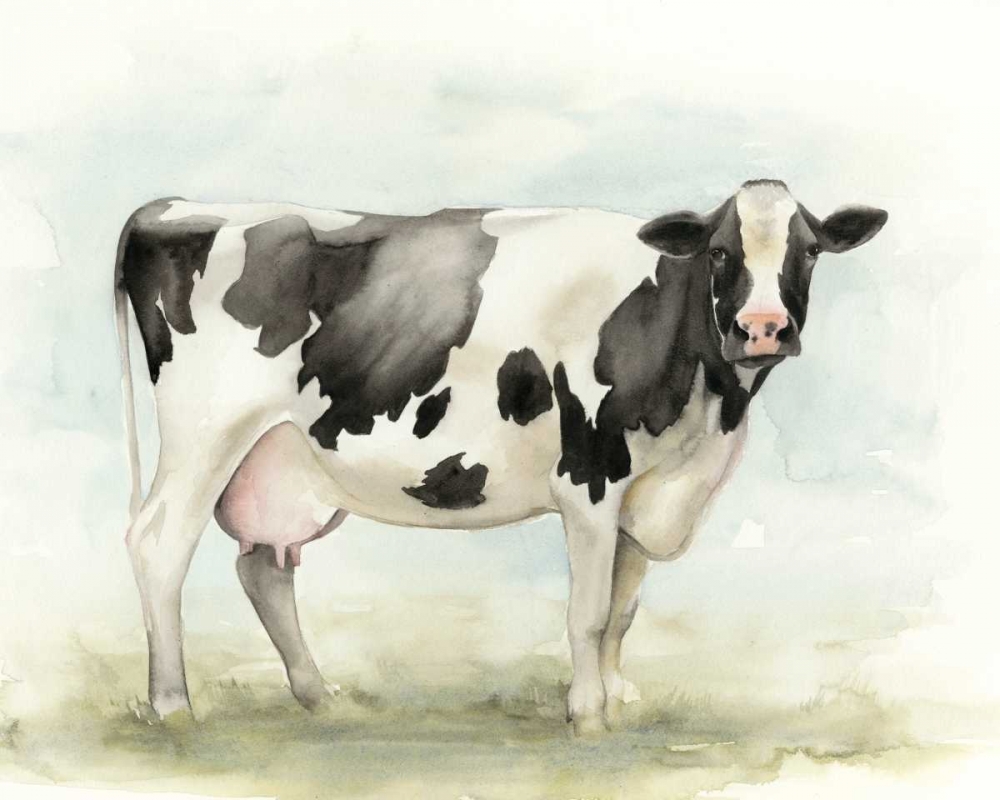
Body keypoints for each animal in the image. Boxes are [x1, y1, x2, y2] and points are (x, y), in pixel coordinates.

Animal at [113, 180, 887, 734]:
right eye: (721, 251)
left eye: (809, 250)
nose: (764, 328)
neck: (705, 409)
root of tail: (168, 207)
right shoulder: (590, 477)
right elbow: (589, 613)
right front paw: (587, 715)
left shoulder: (647, 488)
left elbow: (624, 608)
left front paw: (615, 696)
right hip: (205, 433)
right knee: (159, 544)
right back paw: (173, 706)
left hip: (282, 460)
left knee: (263, 568)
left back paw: (319, 696)